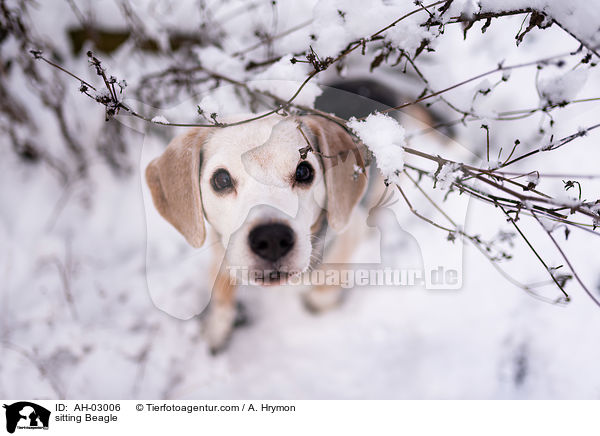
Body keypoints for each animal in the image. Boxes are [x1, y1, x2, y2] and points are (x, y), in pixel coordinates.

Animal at [148, 114, 368, 352]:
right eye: (221, 180)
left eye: (303, 172)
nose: (272, 238)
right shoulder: (222, 255)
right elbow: (222, 295)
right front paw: (217, 330)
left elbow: (326, 289)